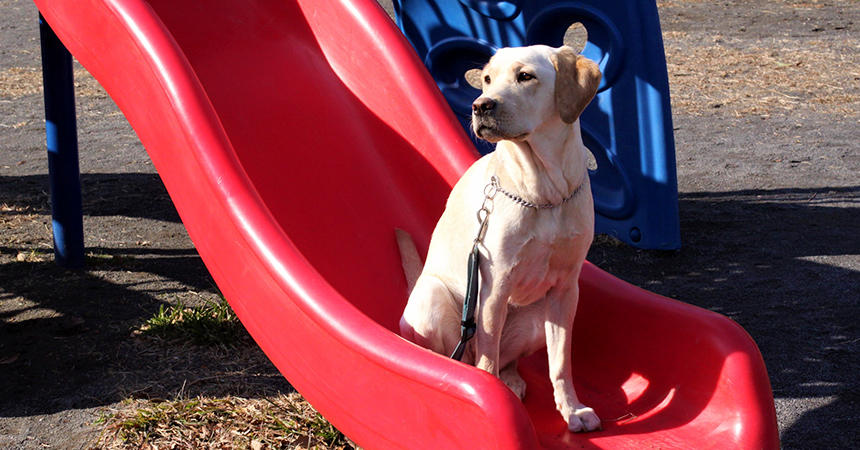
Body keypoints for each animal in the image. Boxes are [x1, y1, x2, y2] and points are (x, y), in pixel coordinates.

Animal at [400, 44, 600, 432]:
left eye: (525, 76)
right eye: (487, 79)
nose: (480, 105)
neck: (543, 194)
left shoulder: (566, 289)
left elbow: (560, 363)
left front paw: (572, 409)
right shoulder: (495, 287)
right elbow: (487, 360)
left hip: (537, 316)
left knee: (502, 358)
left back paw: (512, 379)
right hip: (433, 298)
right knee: (461, 357)